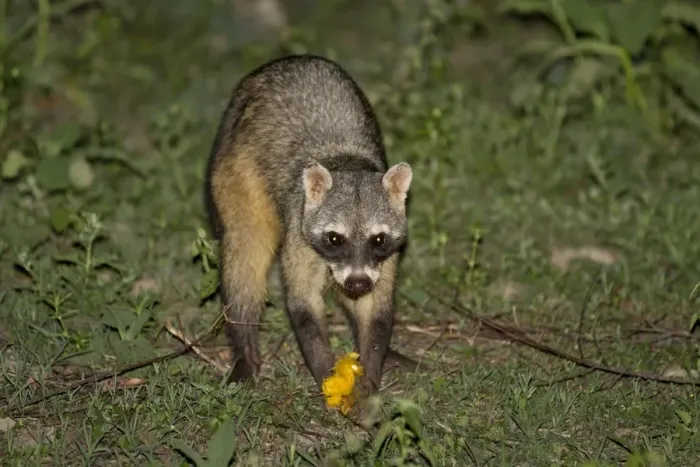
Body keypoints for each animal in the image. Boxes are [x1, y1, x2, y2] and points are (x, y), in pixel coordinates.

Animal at [204, 54, 412, 399]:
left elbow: (375, 307)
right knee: (245, 255)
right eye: (335, 239)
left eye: (378, 239)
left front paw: (371, 365)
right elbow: (304, 305)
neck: (348, 163)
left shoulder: (384, 257)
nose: (357, 283)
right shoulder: (299, 229)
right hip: (234, 172)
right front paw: (328, 373)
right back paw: (244, 344)